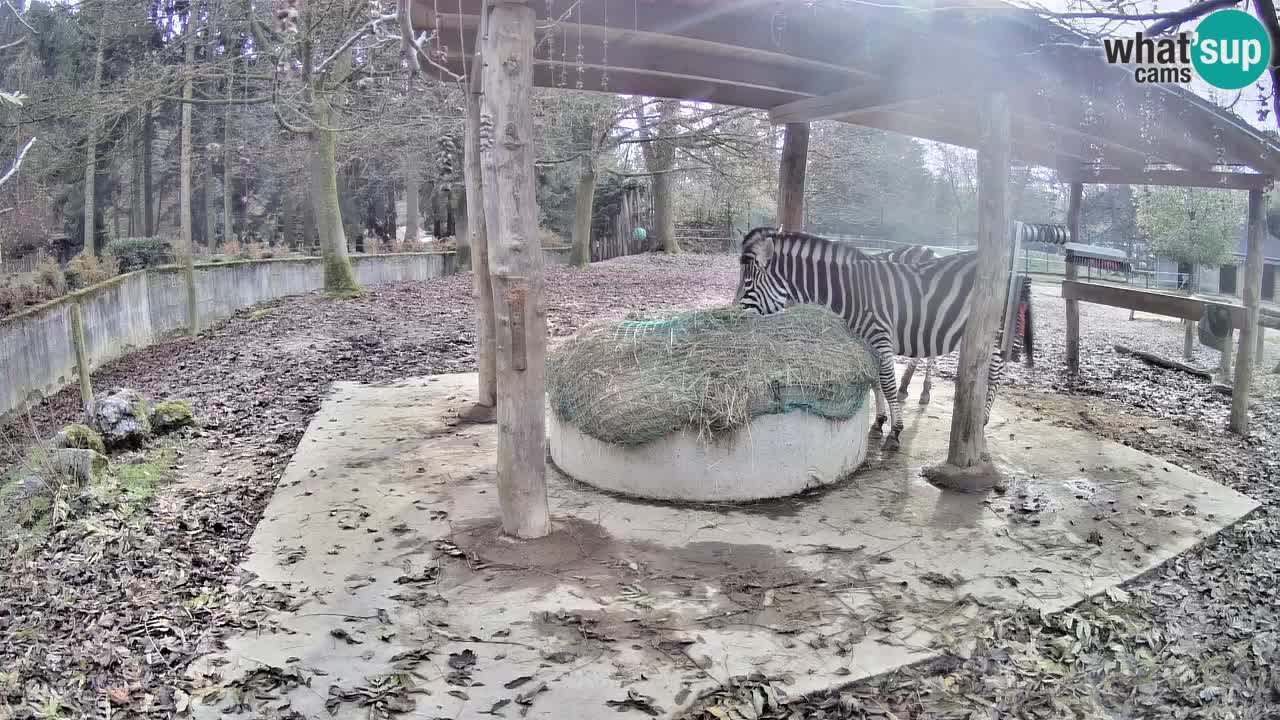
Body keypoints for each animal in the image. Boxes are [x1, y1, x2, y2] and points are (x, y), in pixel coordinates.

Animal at [737, 226, 1034, 445]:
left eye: (748, 283)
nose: (736, 316)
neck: (850, 292)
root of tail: (1011, 271)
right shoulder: (866, 341)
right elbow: (876, 382)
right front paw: (880, 422)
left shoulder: (880, 336)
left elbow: (888, 384)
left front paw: (896, 430)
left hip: (994, 334)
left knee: (995, 376)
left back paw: (980, 422)